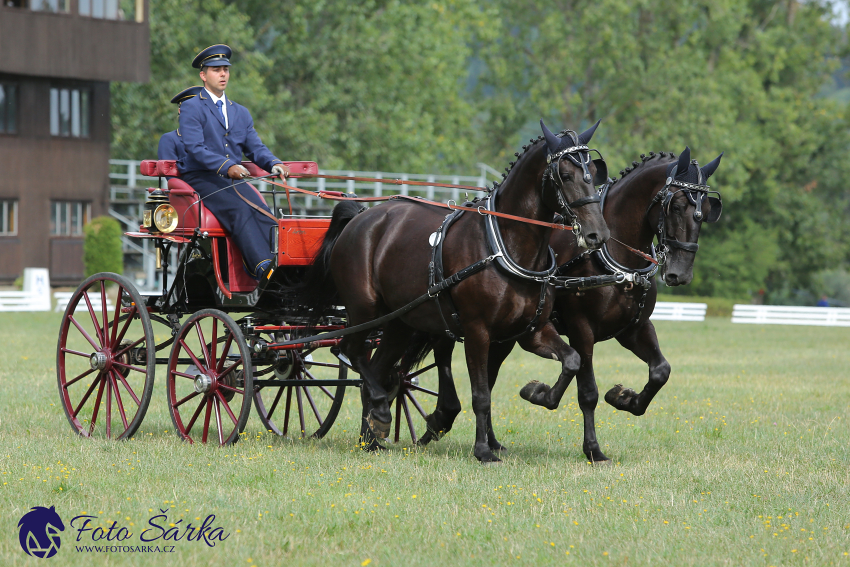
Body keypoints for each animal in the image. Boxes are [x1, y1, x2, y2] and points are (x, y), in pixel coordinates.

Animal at [294, 122, 608, 464]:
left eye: (593, 171)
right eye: (565, 175)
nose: (598, 234)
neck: (505, 244)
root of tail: (362, 217)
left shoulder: (532, 330)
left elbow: (572, 360)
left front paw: (538, 393)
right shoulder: (477, 332)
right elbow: (481, 394)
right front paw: (483, 450)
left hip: (399, 323)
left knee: (376, 369)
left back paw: (372, 436)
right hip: (364, 311)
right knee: (347, 350)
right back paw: (379, 413)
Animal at [408, 145, 720, 462]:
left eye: (707, 212)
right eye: (677, 206)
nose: (680, 274)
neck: (612, 255)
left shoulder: (634, 327)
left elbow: (660, 370)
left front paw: (624, 398)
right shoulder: (581, 328)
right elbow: (588, 391)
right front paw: (591, 447)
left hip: (503, 335)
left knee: (488, 380)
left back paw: (487, 440)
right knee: (446, 357)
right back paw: (438, 420)